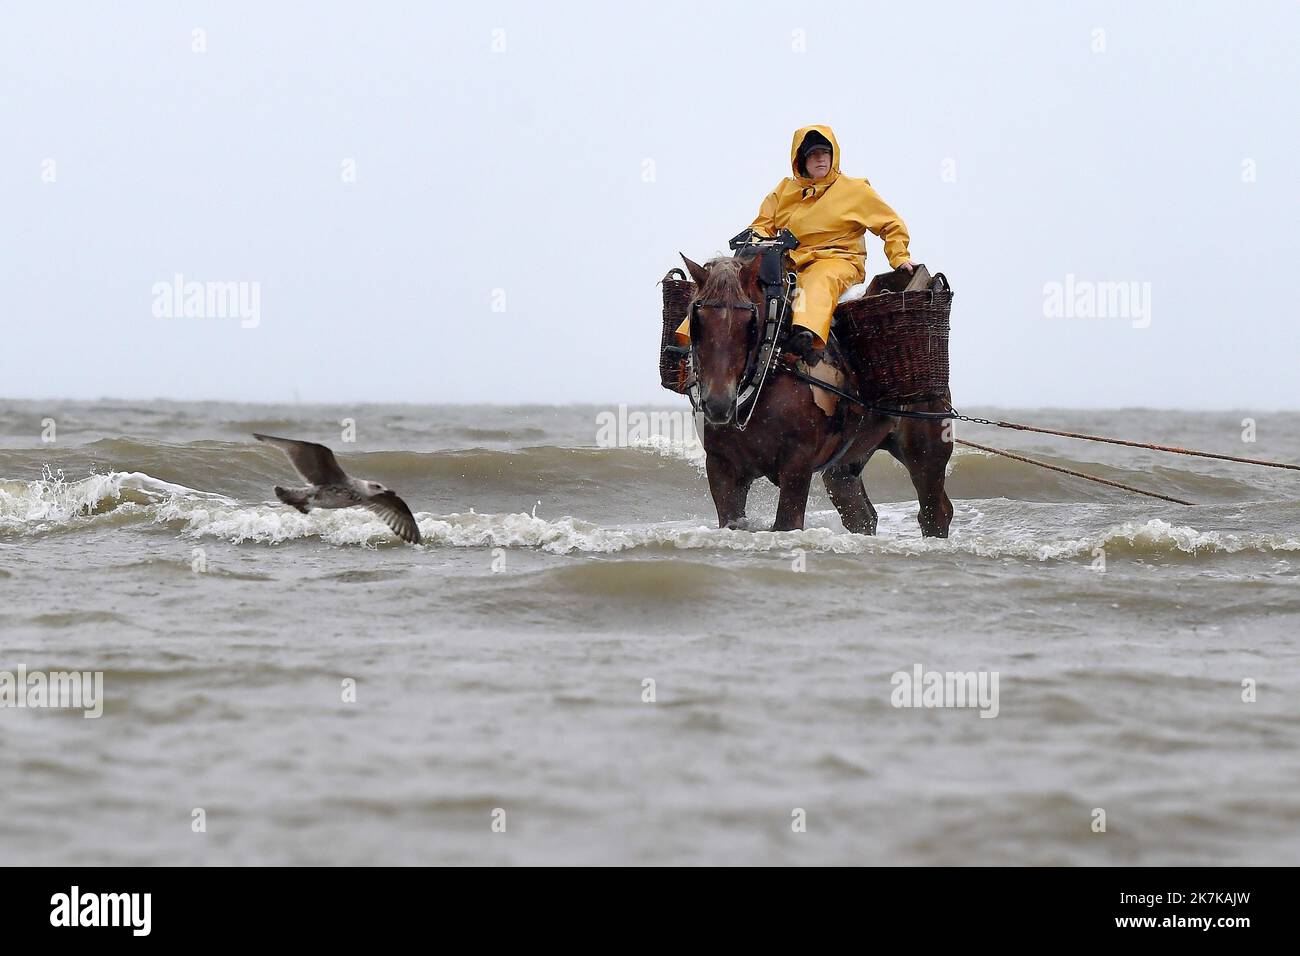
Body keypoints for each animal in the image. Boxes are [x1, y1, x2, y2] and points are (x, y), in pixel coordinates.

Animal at [681, 252, 956, 538]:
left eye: (749, 322)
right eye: (696, 319)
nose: (718, 403)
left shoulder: (797, 466)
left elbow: (787, 523)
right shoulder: (721, 468)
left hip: (926, 450)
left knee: (935, 511)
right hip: (845, 465)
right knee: (861, 514)